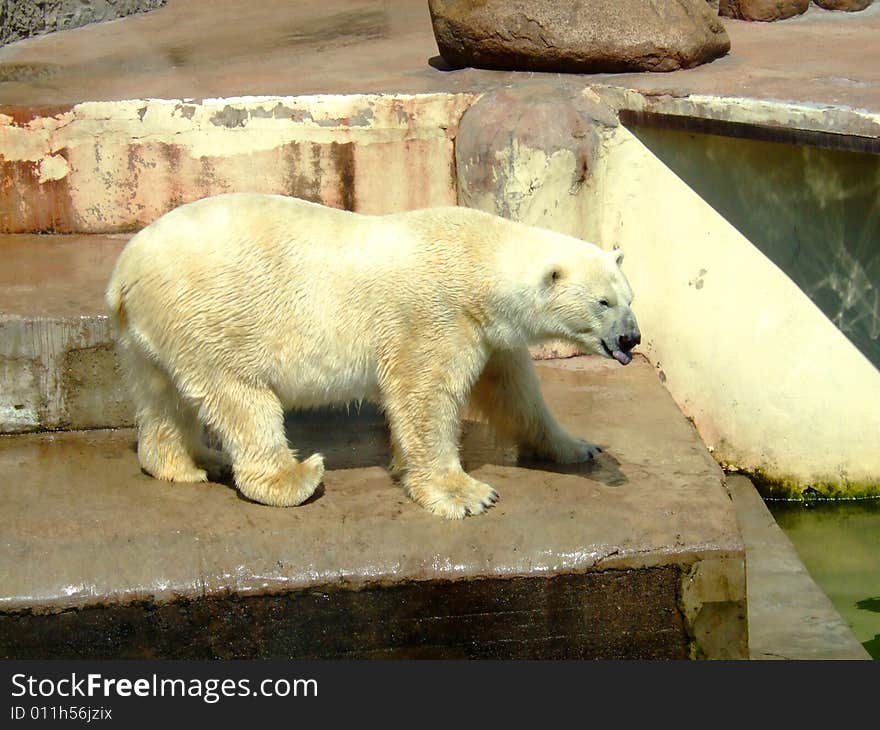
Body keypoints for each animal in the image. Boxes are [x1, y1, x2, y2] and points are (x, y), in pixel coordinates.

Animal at [108, 191, 640, 516]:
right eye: (603, 302)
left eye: (629, 297)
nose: (631, 339)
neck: (477, 260)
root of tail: (125, 270)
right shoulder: (437, 316)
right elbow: (425, 398)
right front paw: (466, 494)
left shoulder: (487, 333)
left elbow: (514, 393)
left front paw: (577, 447)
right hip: (214, 314)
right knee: (240, 397)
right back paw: (294, 477)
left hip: (154, 331)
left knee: (161, 396)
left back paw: (187, 463)